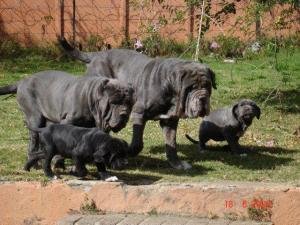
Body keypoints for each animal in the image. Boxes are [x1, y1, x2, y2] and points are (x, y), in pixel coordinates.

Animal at [0, 70, 132, 160]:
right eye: (114, 102)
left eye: (129, 102)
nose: (124, 112)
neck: (92, 98)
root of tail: (21, 81)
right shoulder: (68, 121)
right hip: (34, 115)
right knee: (34, 136)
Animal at [59, 38, 217, 169]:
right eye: (190, 88)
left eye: (207, 86)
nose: (203, 98)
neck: (169, 88)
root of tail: (97, 55)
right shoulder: (139, 113)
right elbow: (137, 143)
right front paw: (128, 151)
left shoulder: (170, 120)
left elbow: (171, 143)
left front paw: (177, 164)